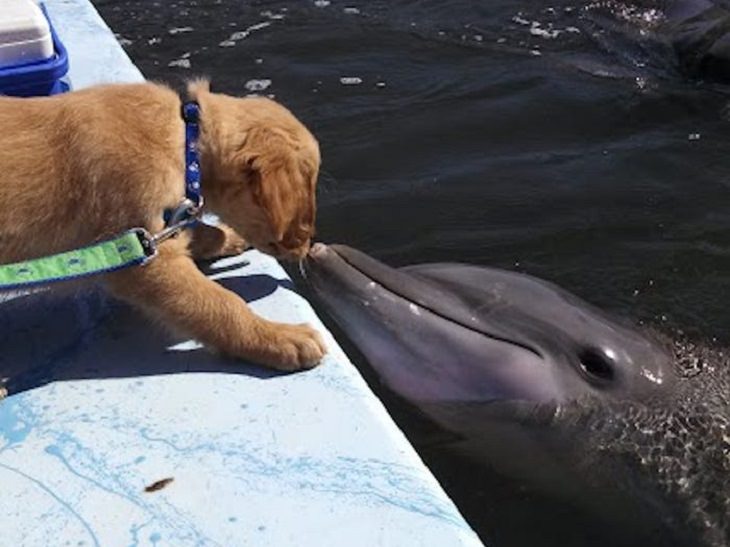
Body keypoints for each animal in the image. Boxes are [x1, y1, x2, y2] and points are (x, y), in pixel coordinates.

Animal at [0, 80, 324, 372]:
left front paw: (228, 237)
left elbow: (198, 231)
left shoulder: (155, 232)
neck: (186, 140)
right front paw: (280, 337)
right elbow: (220, 303)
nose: (309, 249)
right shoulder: (142, 260)